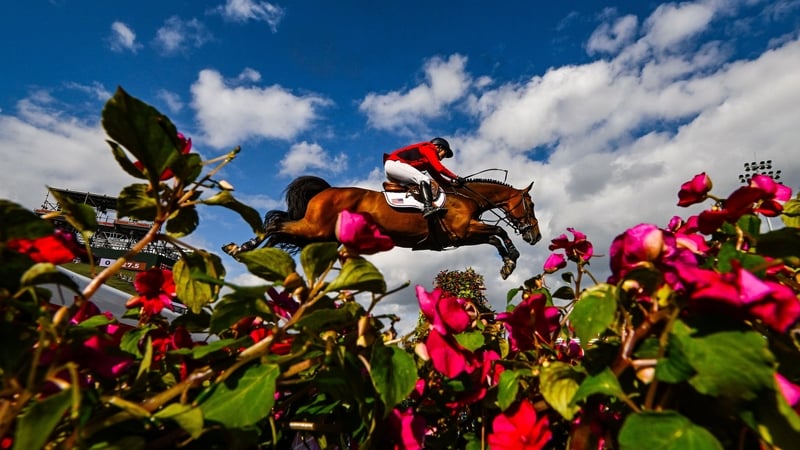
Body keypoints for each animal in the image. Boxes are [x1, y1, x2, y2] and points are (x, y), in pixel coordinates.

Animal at [224, 176, 542, 279]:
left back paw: (255, 255)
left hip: (319, 235)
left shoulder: (465, 235)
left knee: (279, 229)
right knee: (277, 226)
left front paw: (507, 264)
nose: (536, 236)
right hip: (315, 229)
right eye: (531, 204)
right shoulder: (464, 232)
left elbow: (495, 238)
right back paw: (241, 249)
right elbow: (499, 232)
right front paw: (511, 261)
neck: (466, 199)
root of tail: (324, 191)